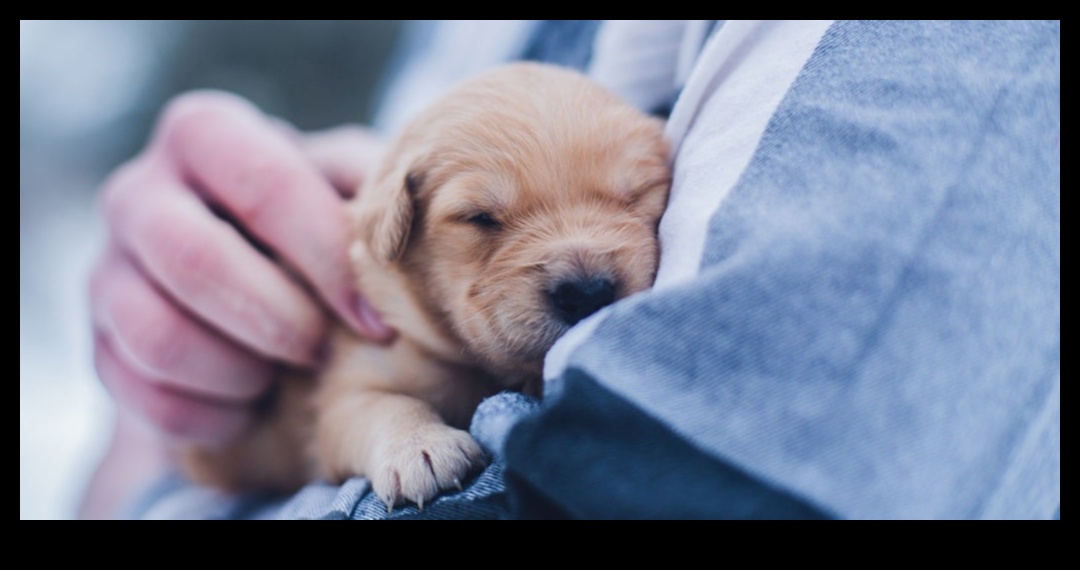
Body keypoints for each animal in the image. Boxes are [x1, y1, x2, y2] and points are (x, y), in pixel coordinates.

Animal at [186, 63, 673, 511]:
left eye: (636, 195)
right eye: (480, 218)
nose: (587, 292)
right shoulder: (348, 385)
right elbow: (382, 405)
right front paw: (419, 447)